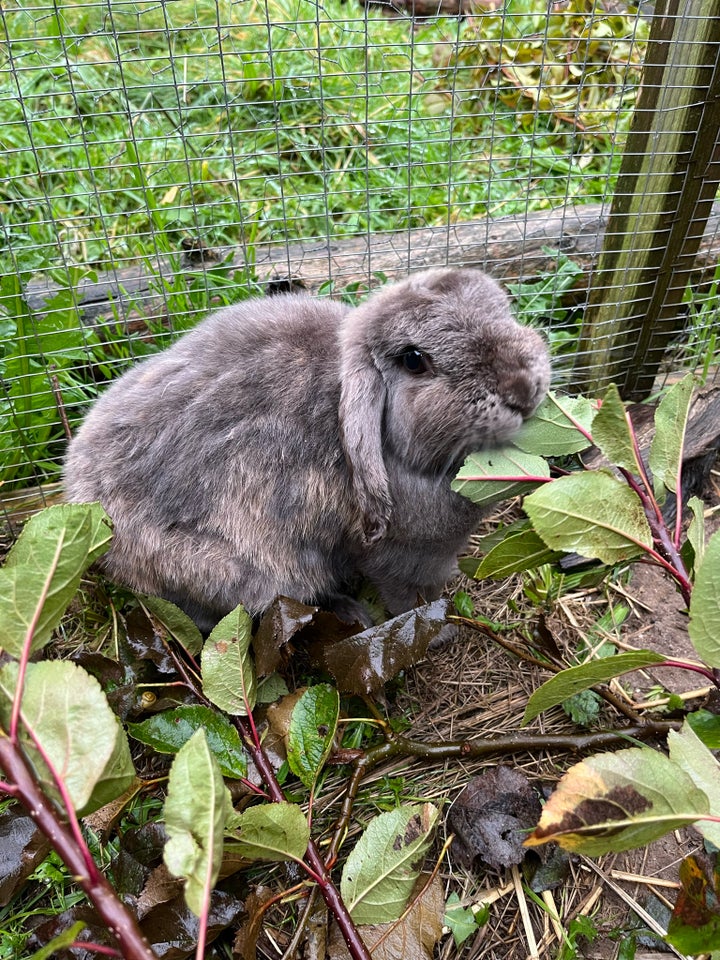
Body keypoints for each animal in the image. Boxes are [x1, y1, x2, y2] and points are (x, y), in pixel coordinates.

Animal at [66, 266, 552, 632]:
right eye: (415, 360)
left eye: (502, 308)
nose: (523, 389)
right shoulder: (401, 558)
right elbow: (408, 598)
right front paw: (435, 625)